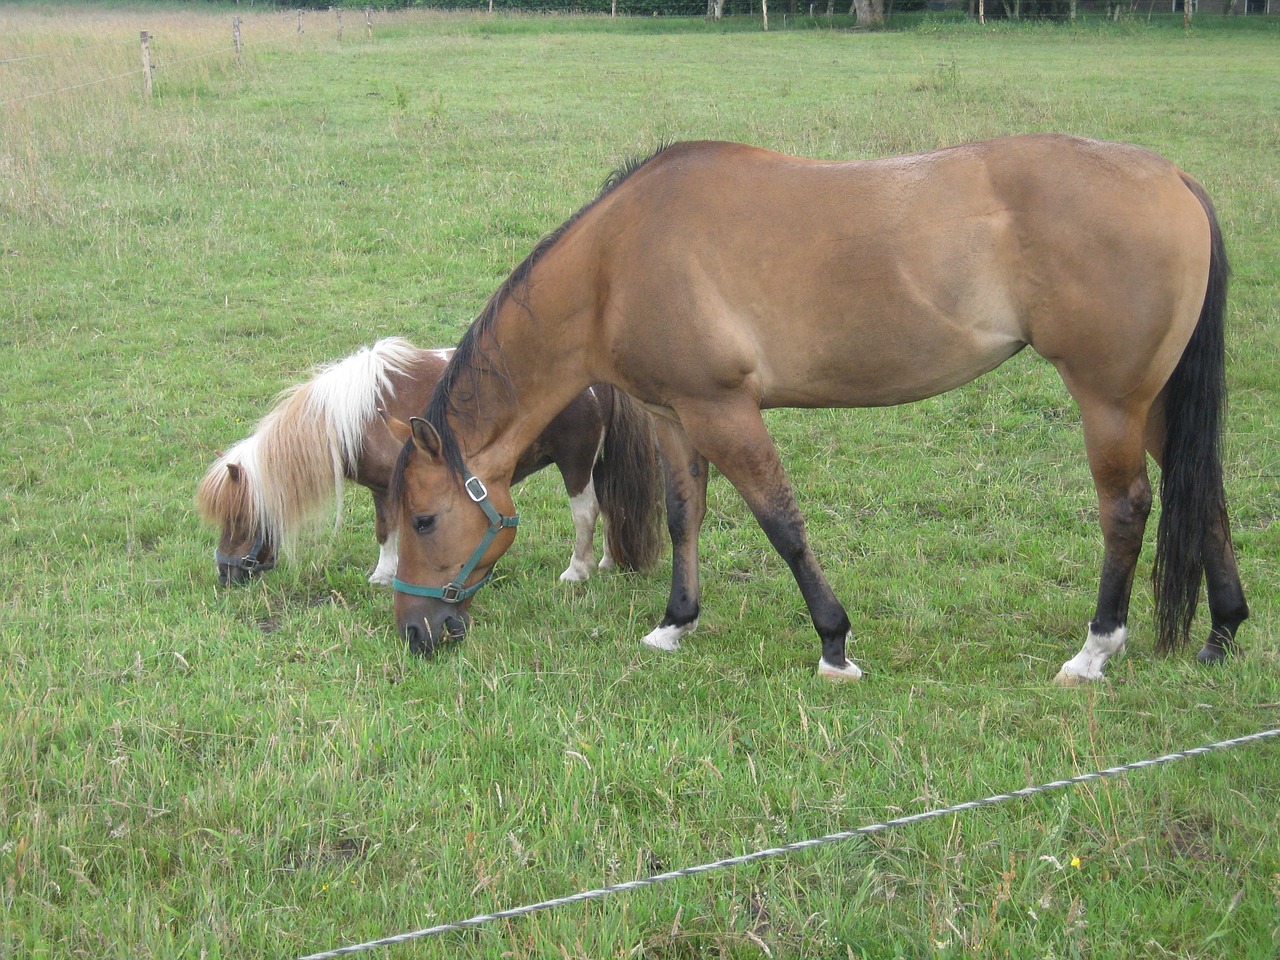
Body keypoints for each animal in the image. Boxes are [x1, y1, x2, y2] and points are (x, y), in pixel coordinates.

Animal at [197, 337, 670, 593]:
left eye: (239, 517)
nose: (225, 573)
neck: (357, 415)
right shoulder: (384, 489)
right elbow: (387, 530)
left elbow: (390, 531)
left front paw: (385, 574)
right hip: (596, 465)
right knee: (609, 508)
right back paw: (605, 562)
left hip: (575, 463)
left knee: (585, 513)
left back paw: (578, 570)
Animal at [389, 136, 1249, 686]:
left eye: (424, 520)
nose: (414, 634)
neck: (616, 261)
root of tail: (1172, 178)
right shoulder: (674, 415)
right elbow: (683, 515)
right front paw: (675, 623)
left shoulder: (725, 411)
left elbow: (781, 524)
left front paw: (834, 645)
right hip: (1155, 401)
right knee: (1205, 491)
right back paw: (1222, 632)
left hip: (1109, 400)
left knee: (1126, 508)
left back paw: (1096, 651)